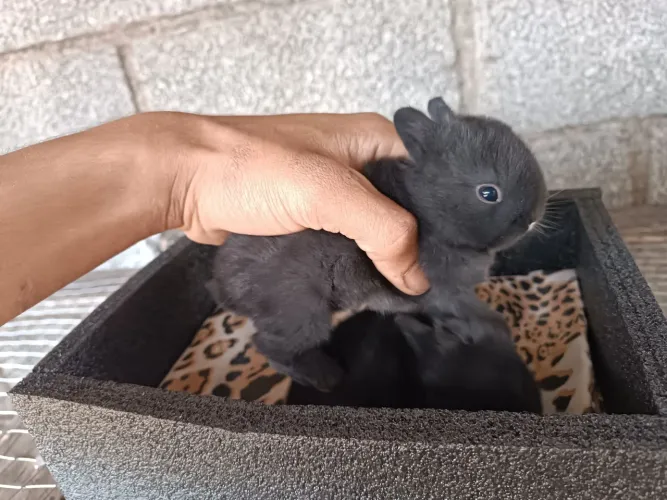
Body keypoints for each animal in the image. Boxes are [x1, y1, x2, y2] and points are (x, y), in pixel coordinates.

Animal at [208, 97, 547, 390]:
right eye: (488, 193)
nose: (533, 218)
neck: (429, 210)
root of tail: (224, 288)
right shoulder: (445, 292)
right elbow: (478, 314)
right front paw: (489, 329)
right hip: (302, 311)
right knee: (271, 347)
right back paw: (327, 377)